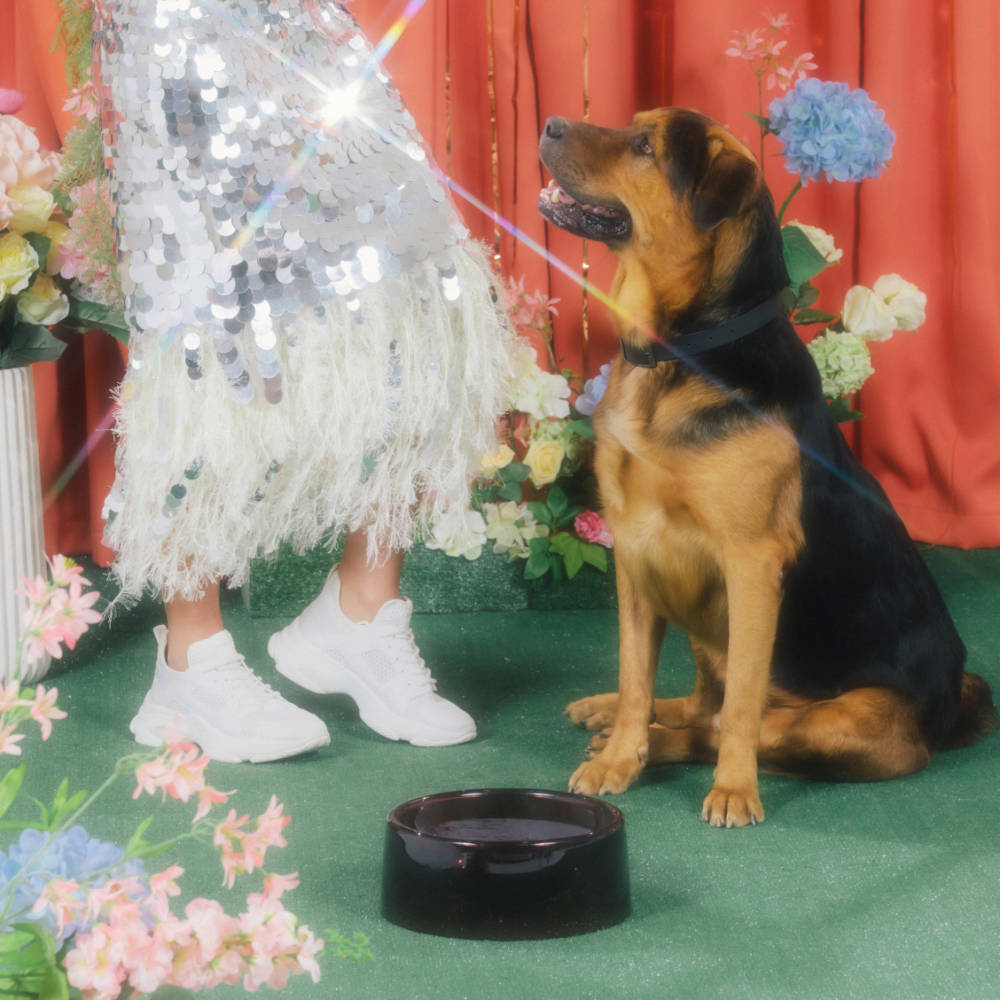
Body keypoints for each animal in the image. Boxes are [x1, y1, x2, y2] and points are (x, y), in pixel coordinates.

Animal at [544, 107, 996, 828]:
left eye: (644, 147)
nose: (552, 125)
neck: (680, 356)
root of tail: (950, 705)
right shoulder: (636, 549)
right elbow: (635, 674)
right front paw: (619, 756)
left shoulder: (751, 562)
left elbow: (739, 708)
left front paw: (732, 790)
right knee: (698, 703)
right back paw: (612, 717)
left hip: (847, 722)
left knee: (733, 722)